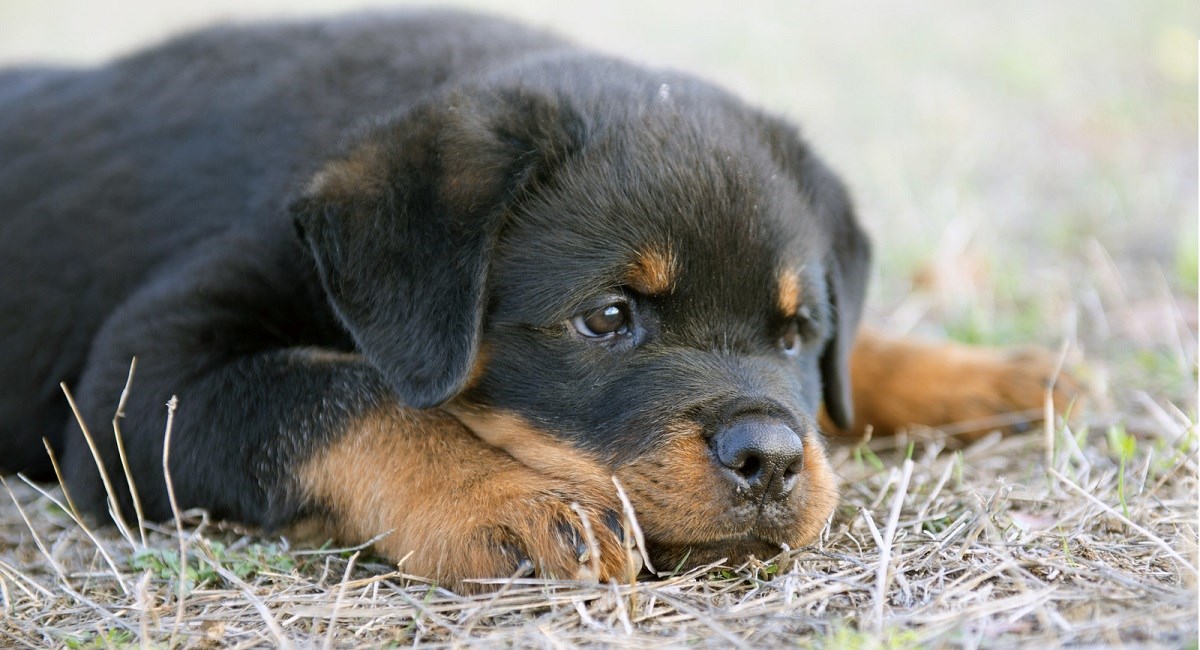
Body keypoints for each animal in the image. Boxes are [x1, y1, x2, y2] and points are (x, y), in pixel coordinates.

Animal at [0, 11, 1070, 590]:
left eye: (798, 331)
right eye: (607, 318)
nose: (770, 461)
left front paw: (987, 375)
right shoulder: (139, 382)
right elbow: (355, 394)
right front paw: (506, 499)